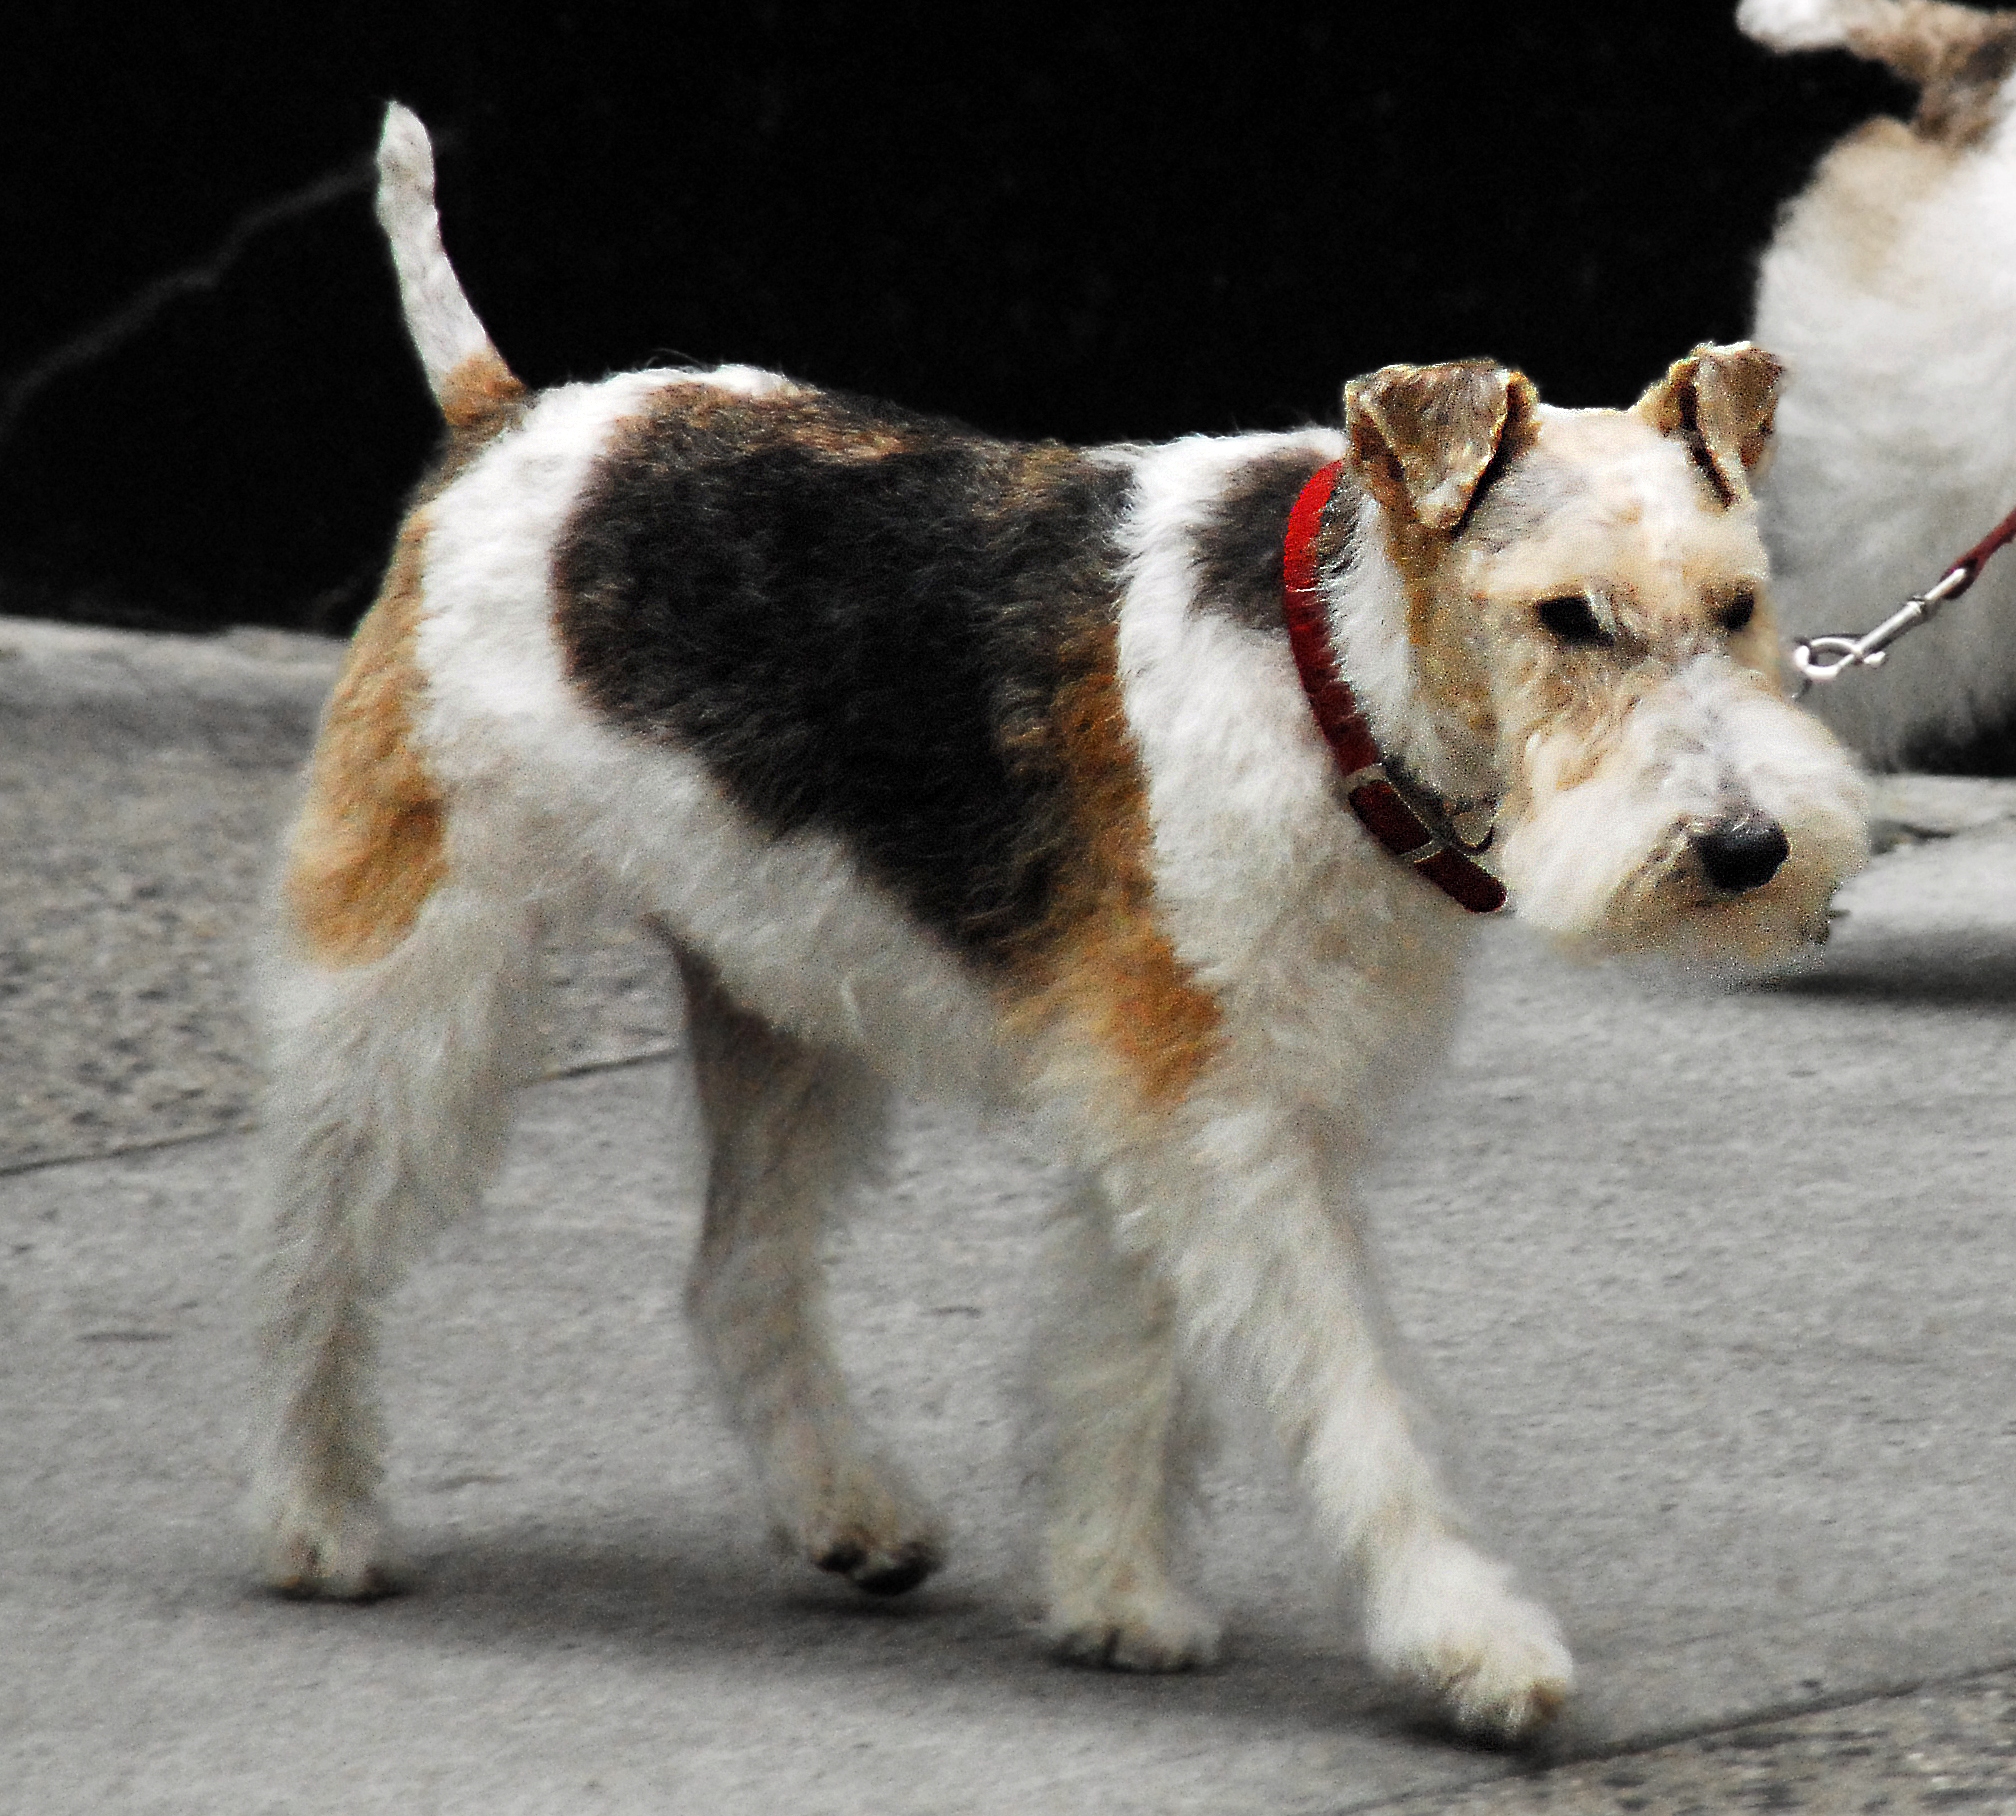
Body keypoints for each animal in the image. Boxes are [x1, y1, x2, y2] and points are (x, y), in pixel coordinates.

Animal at [256, 102, 1870, 1741]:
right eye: (1566, 616)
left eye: (1738, 606)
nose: (1746, 848)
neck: (1334, 682)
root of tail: (510, 419)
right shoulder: (1209, 1098)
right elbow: (1344, 1390)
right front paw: (1467, 1640)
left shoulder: (1186, 1084)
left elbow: (1131, 1351)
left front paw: (1114, 1595)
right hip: (420, 968)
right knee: (317, 1250)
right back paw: (316, 1524)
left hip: (780, 991)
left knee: (735, 1274)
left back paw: (849, 1513)